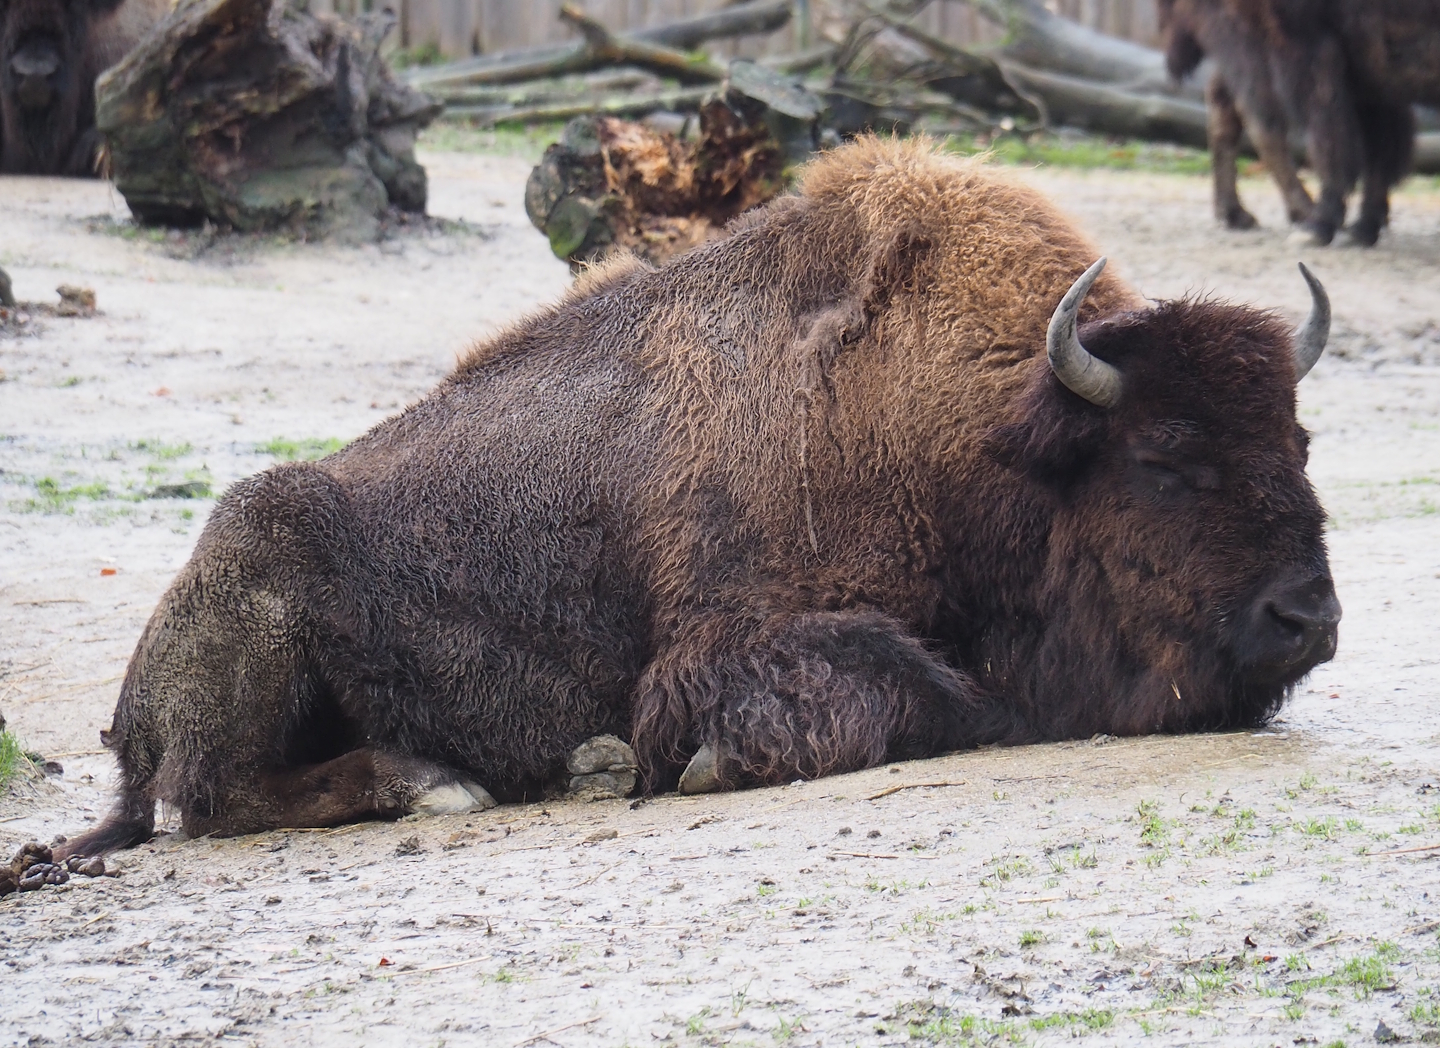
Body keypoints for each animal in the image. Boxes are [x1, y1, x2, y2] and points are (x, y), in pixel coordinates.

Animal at [57, 138, 1341, 858]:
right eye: (1164, 456)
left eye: (1301, 439)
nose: (1309, 618)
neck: (977, 434)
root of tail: (130, 704)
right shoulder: (725, 640)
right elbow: (922, 689)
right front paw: (688, 760)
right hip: (258, 588)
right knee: (210, 799)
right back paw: (440, 783)